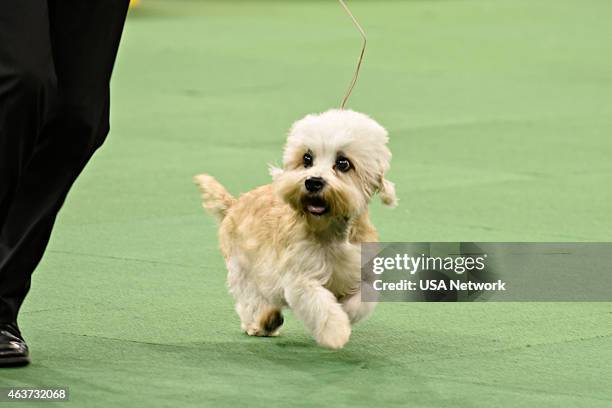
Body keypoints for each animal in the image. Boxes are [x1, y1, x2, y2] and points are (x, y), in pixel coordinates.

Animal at [196, 110, 396, 350]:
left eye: (343, 163)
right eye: (307, 158)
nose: (313, 182)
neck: (331, 232)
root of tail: (234, 204)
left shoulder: (362, 271)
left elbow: (361, 300)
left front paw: (345, 313)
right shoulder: (301, 279)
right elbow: (321, 306)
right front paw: (335, 332)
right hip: (243, 269)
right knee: (250, 300)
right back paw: (263, 322)